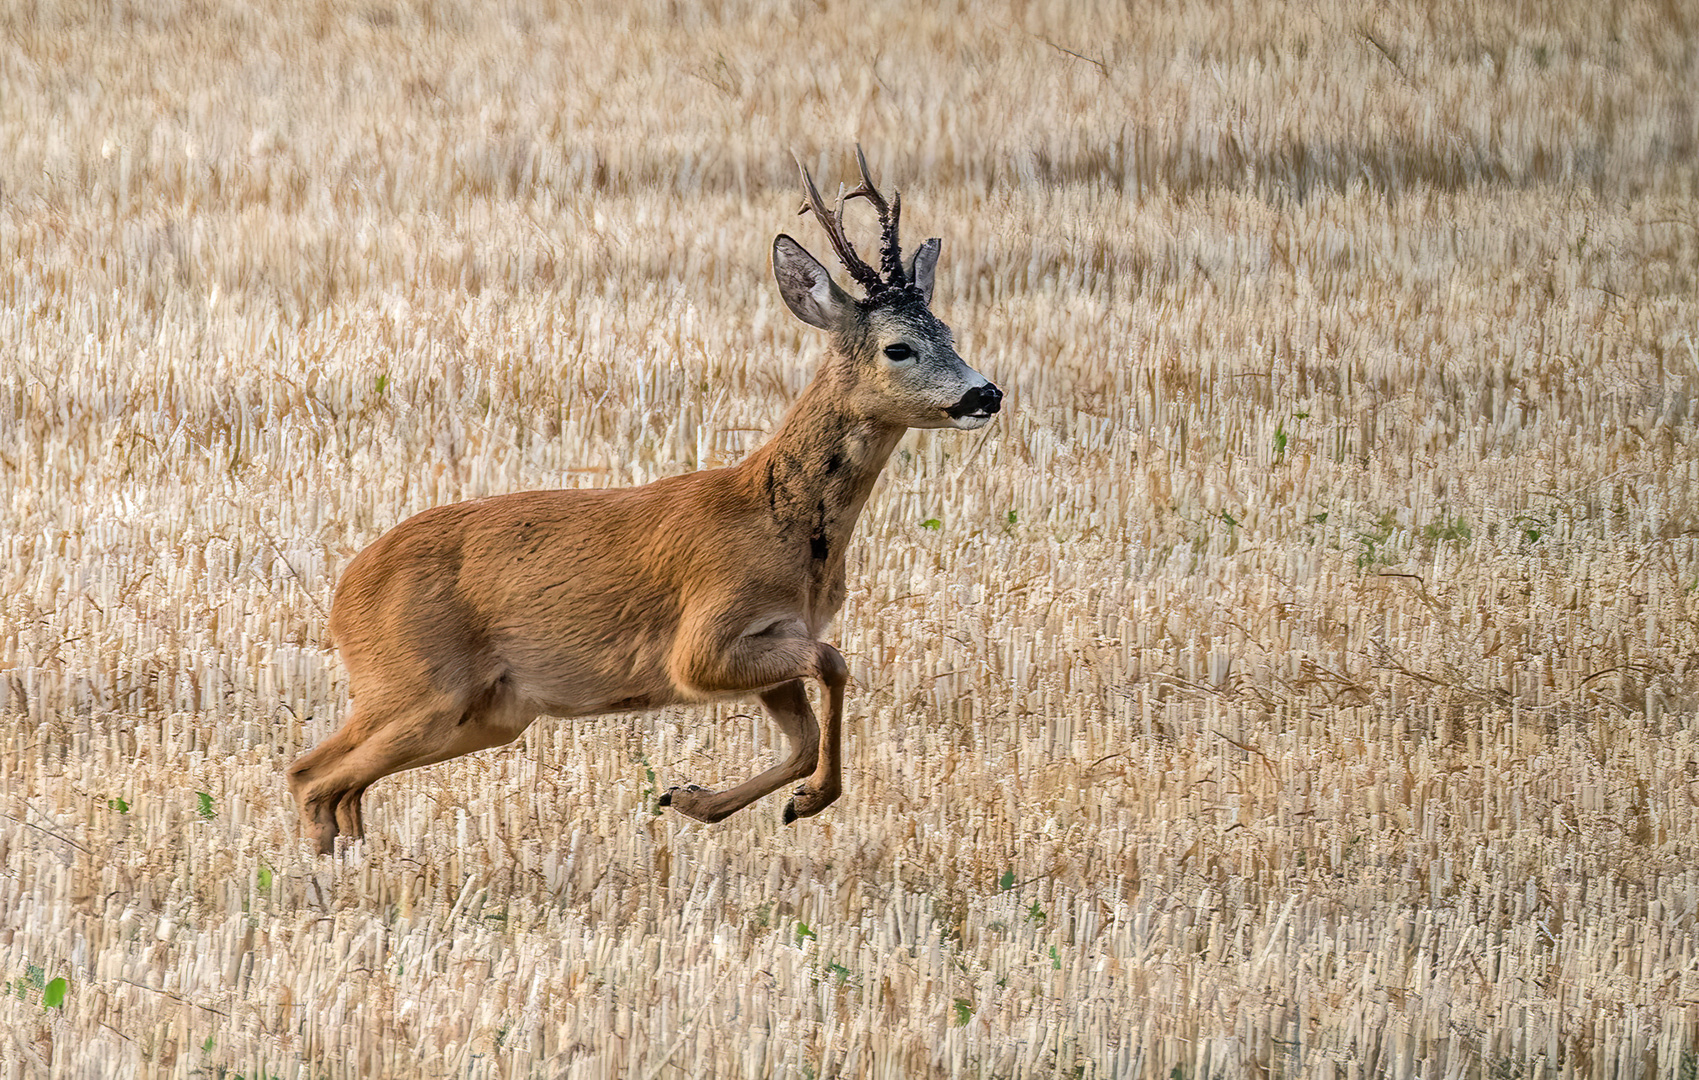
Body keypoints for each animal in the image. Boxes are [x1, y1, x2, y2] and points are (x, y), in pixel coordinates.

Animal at [285, 145, 999, 852]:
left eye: (949, 332)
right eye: (898, 347)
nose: (985, 394)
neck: (780, 520)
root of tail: (344, 596)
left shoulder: (778, 633)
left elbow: (803, 737)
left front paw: (701, 799)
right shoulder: (702, 640)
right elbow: (834, 663)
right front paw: (809, 797)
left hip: (482, 713)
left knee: (341, 787)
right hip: (417, 685)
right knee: (310, 774)